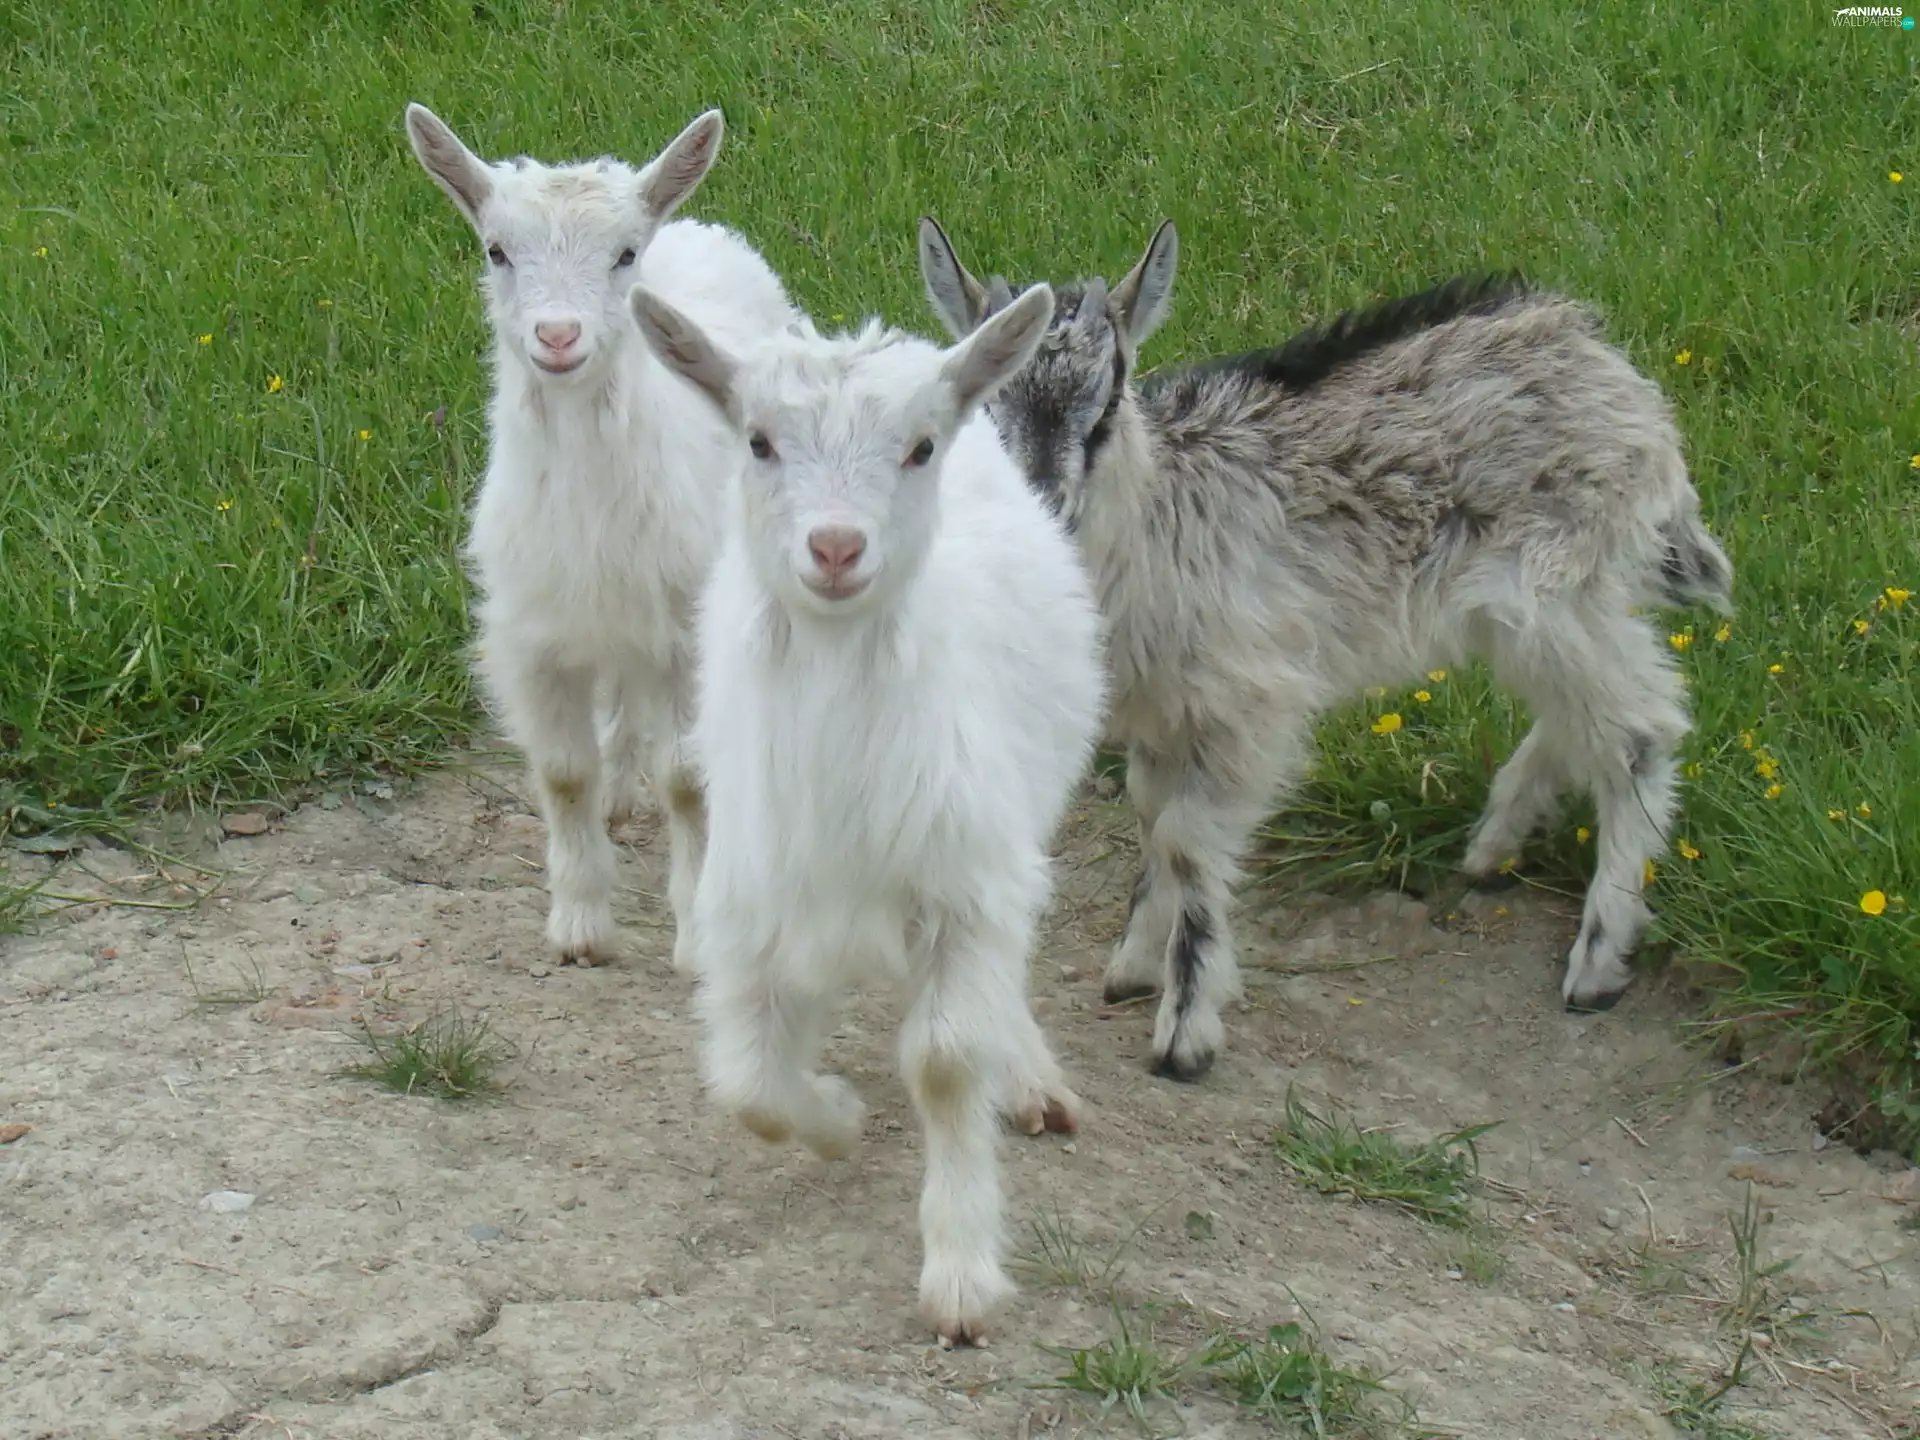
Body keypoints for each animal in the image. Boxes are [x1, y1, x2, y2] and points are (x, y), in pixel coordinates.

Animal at [405, 103, 796, 968]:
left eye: (622, 255)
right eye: (497, 250)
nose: (557, 337)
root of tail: (695, 225)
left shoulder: (684, 630)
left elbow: (687, 779)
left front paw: (694, 936)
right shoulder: (536, 632)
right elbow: (563, 773)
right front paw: (580, 925)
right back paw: (619, 792)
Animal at [627, 280, 1105, 1346]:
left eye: (919, 447)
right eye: (758, 440)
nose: (837, 547)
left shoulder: (964, 878)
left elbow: (946, 1061)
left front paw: (962, 1275)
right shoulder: (756, 897)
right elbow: (749, 1086)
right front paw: (837, 1118)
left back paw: (1031, 1078)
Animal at [919, 216, 1734, 1080]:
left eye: (1105, 408)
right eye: (980, 414)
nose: (1045, 502)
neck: (1159, 519)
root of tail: (1614, 372)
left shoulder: (1248, 703)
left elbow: (1186, 841)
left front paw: (1185, 1032)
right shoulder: (1163, 707)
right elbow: (1150, 816)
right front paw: (1136, 965)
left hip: (1555, 584)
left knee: (1641, 727)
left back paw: (1598, 960)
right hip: (1535, 609)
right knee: (1591, 713)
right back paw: (1496, 844)